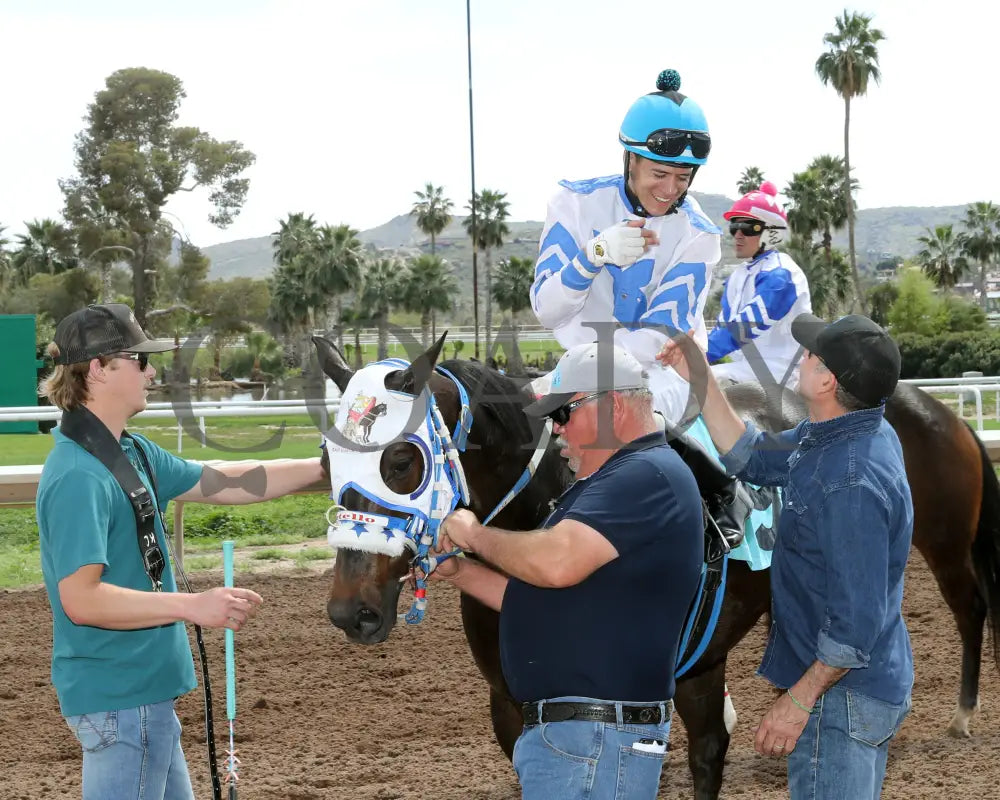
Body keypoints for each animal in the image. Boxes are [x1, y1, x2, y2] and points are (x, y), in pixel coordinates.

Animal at [314, 334, 1000, 796]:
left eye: (402, 460)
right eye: (326, 458)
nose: (352, 611)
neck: (548, 505)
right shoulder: (511, 706)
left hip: (940, 541)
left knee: (964, 607)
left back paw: (963, 714)